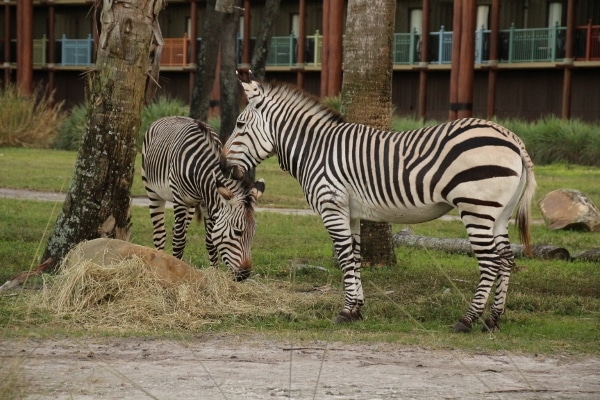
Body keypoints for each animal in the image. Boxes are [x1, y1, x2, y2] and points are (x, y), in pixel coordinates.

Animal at [143, 115, 264, 282]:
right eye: (237, 232)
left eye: (253, 233)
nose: (243, 275)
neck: (199, 171)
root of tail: (169, 117)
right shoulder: (180, 201)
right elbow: (179, 242)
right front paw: (177, 269)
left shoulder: (208, 203)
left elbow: (210, 241)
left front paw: (214, 274)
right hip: (153, 191)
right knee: (161, 234)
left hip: (191, 206)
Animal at [223, 73, 536, 332]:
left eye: (239, 124)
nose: (225, 167)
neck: (315, 149)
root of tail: (512, 137)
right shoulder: (350, 212)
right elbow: (354, 256)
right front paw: (356, 309)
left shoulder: (332, 206)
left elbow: (344, 256)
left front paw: (345, 312)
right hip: (499, 214)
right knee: (506, 259)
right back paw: (493, 320)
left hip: (475, 208)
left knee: (491, 261)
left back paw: (468, 320)